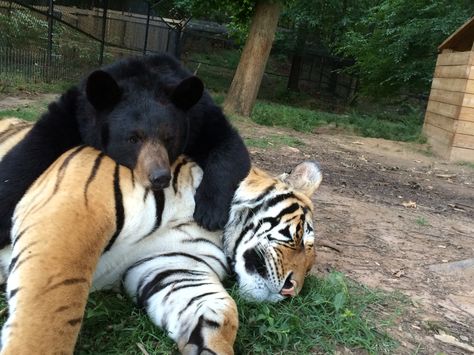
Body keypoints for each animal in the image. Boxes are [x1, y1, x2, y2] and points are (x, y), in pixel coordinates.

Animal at [0, 54, 252, 248]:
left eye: (169, 138)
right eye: (133, 139)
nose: (160, 177)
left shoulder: (200, 117)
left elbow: (227, 144)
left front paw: (210, 212)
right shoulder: (75, 112)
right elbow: (33, 149)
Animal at [0, 117, 322, 355]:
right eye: (300, 238)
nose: (291, 291)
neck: (215, 228)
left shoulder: (175, 262)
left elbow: (222, 311)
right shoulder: (74, 213)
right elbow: (49, 317)